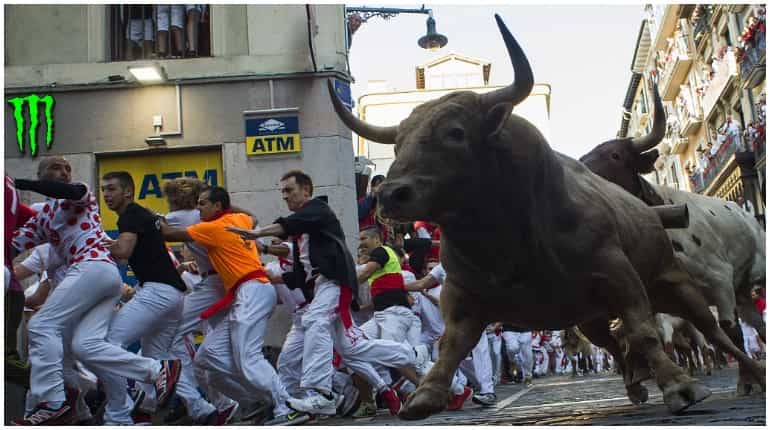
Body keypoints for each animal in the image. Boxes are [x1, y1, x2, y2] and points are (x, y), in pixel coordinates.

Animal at [580, 82, 766, 395]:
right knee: (758, 325)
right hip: (741, 292)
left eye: (615, 155)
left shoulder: (719, 282)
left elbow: (729, 332)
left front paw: (746, 381)